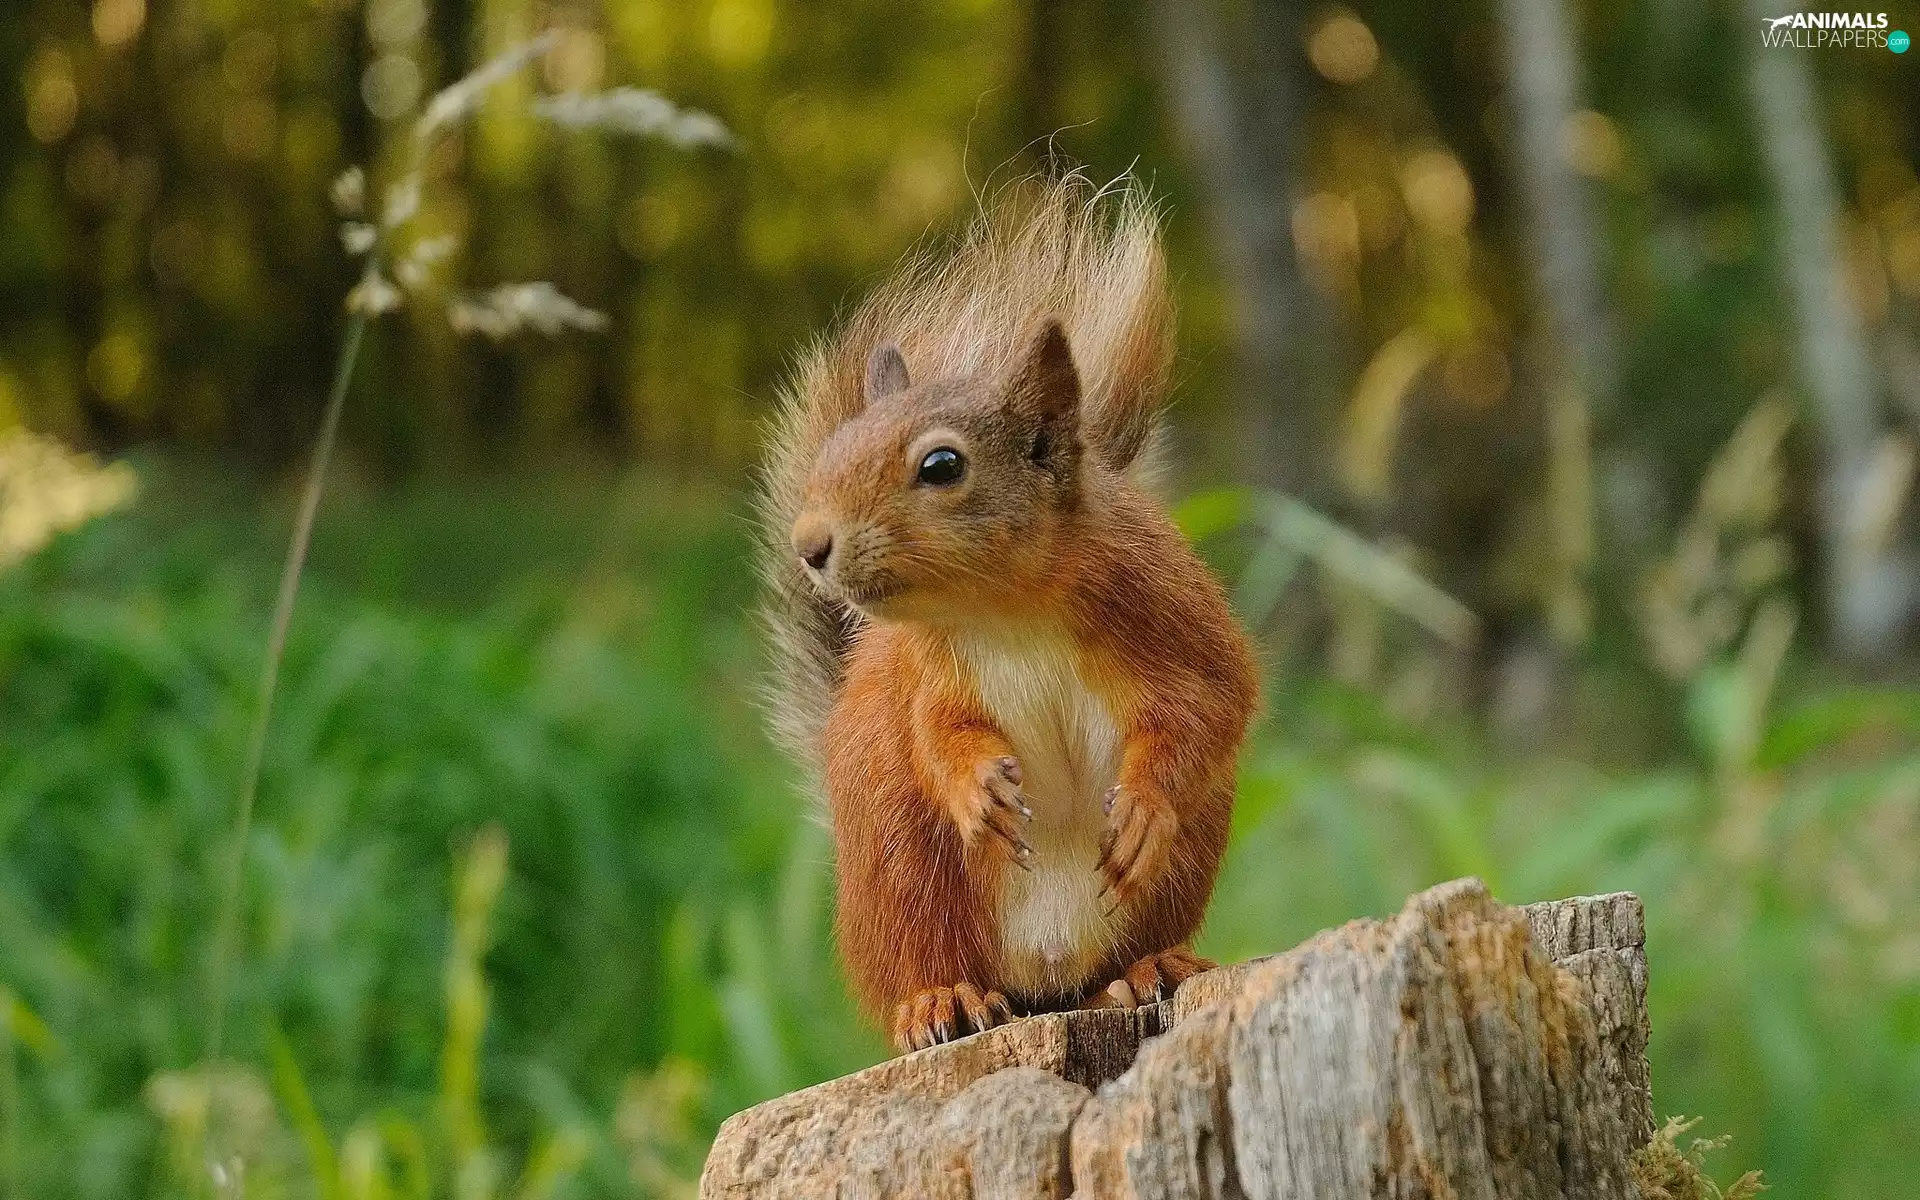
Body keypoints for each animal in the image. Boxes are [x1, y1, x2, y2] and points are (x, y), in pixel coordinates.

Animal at [759, 176, 1258, 1053]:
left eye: (941, 465)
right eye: (833, 452)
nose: (809, 545)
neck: (1004, 611)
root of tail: (1042, 979)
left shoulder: (1171, 612)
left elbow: (1210, 705)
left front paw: (1142, 809)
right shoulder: (927, 673)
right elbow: (938, 735)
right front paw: (976, 790)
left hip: (1178, 870)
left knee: (1112, 964)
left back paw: (1146, 969)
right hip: (902, 867)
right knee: (928, 961)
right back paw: (940, 1001)